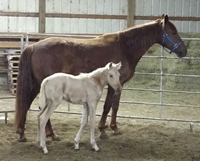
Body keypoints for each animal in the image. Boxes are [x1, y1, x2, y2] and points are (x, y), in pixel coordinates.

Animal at [14, 14, 187, 141]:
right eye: (173, 32)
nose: (184, 51)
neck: (125, 47)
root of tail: (33, 46)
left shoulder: (120, 84)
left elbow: (115, 106)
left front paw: (114, 128)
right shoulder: (112, 85)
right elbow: (107, 106)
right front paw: (102, 130)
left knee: (30, 105)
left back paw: (27, 133)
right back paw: (46, 134)